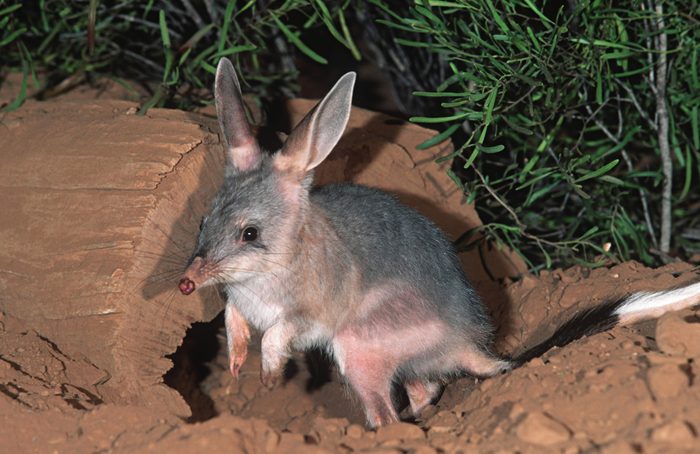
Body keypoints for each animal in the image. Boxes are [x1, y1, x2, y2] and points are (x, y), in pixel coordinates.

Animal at [178, 57, 700, 427]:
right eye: (203, 221)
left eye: (250, 233)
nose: (185, 283)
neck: (273, 265)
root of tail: (469, 343)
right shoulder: (238, 300)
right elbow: (233, 318)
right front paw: (236, 364)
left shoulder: (308, 314)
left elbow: (280, 333)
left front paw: (268, 375)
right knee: (425, 389)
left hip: (361, 346)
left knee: (388, 412)